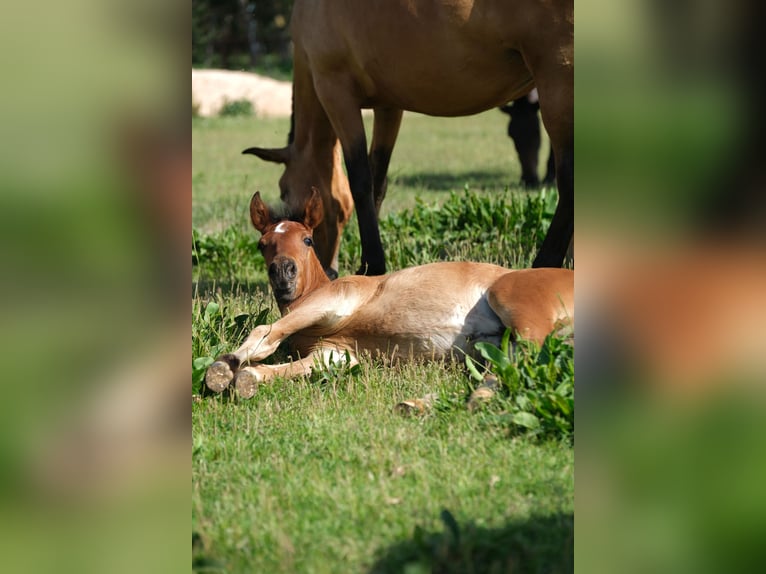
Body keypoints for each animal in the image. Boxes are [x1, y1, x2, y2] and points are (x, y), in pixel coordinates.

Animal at [206, 191, 576, 398]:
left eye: (307, 240)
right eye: (262, 244)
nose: (283, 273)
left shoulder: (335, 301)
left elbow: (264, 334)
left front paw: (224, 367)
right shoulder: (336, 353)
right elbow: (288, 368)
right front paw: (247, 377)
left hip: (516, 307)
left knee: (524, 361)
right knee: (513, 367)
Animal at [243, 0, 572, 280]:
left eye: (284, 190)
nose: (327, 269)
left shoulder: (335, 92)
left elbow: (360, 181)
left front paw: (371, 266)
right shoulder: (388, 107)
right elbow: (378, 182)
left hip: (557, 82)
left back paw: (546, 265)